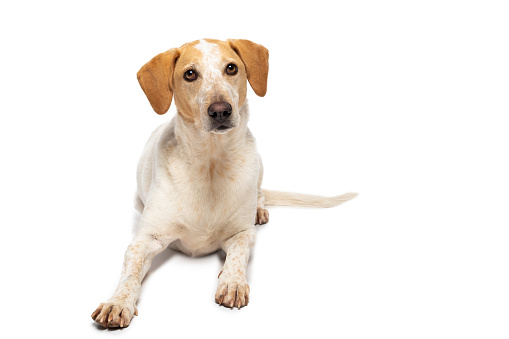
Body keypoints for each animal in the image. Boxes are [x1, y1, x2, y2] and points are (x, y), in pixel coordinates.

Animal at [90, 38, 358, 328]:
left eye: (231, 68)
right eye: (190, 74)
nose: (220, 110)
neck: (210, 164)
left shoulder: (242, 233)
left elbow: (238, 254)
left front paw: (232, 282)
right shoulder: (146, 240)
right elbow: (130, 273)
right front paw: (117, 302)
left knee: (260, 193)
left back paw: (259, 209)